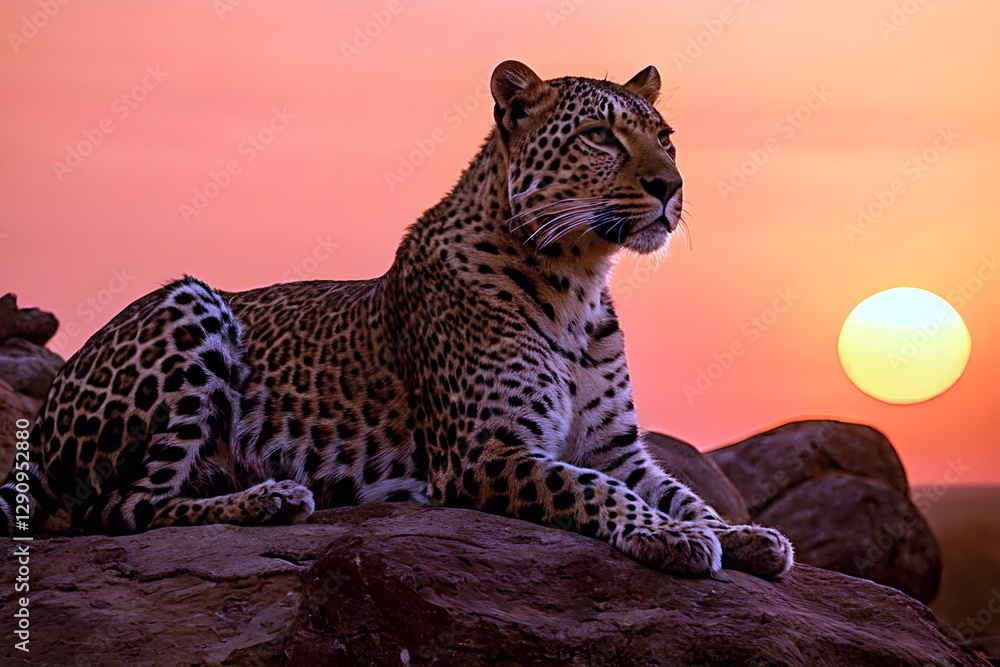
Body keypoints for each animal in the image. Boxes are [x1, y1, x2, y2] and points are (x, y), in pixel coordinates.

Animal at [1, 61, 793, 580]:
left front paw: (749, 534)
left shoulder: (617, 445)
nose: (671, 186)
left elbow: (683, 491)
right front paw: (675, 541)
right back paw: (276, 496)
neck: (580, 284)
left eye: (667, 136)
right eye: (601, 137)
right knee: (125, 507)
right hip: (189, 302)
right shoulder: (487, 451)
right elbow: (604, 491)